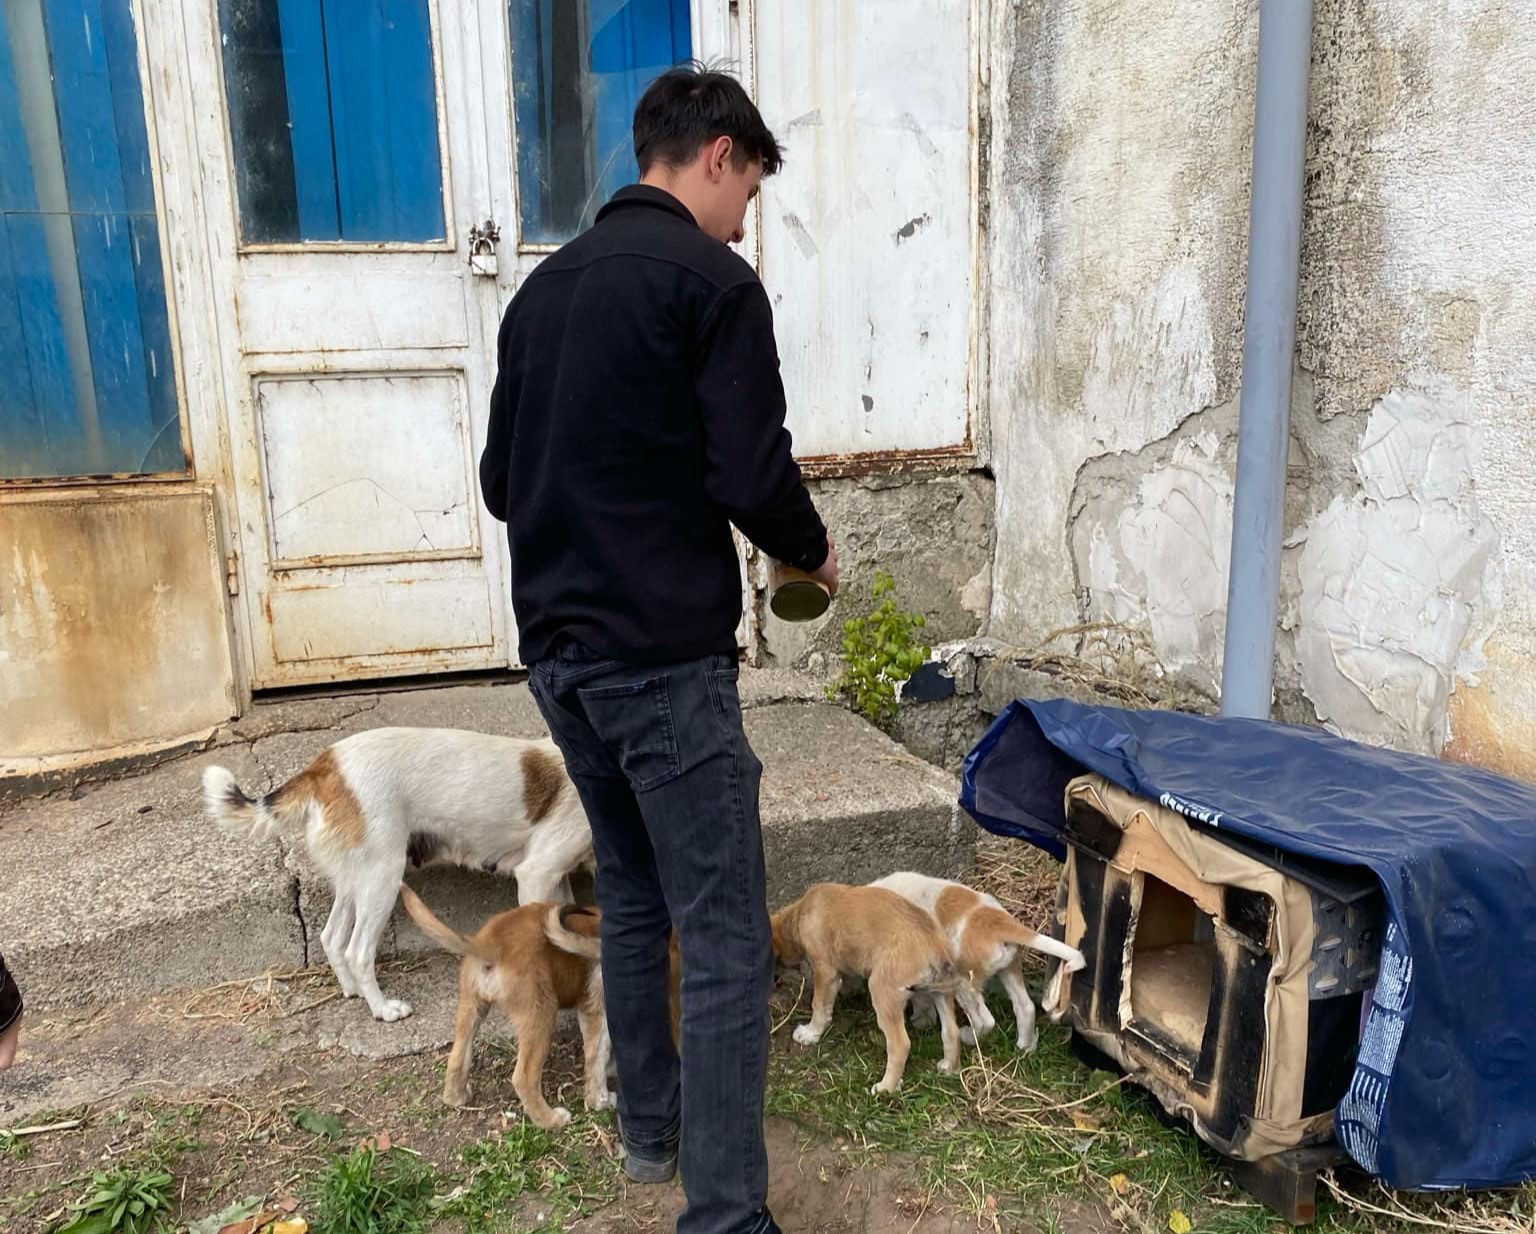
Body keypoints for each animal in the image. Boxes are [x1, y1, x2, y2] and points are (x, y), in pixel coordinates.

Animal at [202, 727, 594, 1022]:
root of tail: (325, 765)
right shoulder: (536, 873)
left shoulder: (555, 877)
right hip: (383, 879)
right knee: (358, 951)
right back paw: (382, 1009)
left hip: (357, 879)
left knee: (331, 937)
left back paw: (352, 991)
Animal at [400, 887, 611, 1128]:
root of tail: (492, 941)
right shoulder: (596, 1010)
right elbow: (597, 1059)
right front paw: (601, 1100)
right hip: (540, 1013)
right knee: (524, 1077)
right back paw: (550, 1120)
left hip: (471, 1007)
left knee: (456, 1058)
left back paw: (457, 1097)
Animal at [770, 882, 963, 1094]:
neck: (800, 913)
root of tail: (935, 946)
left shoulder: (824, 970)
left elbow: (819, 1006)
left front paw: (810, 1033)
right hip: (940, 993)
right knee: (951, 1031)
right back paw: (949, 1067)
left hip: (883, 991)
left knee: (900, 1044)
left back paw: (886, 1087)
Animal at [871, 872, 1086, 1053]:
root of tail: (999, 922)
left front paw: (921, 1020)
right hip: (1009, 968)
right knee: (1026, 1007)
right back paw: (1025, 1048)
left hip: (963, 982)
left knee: (985, 1021)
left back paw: (968, 1036)